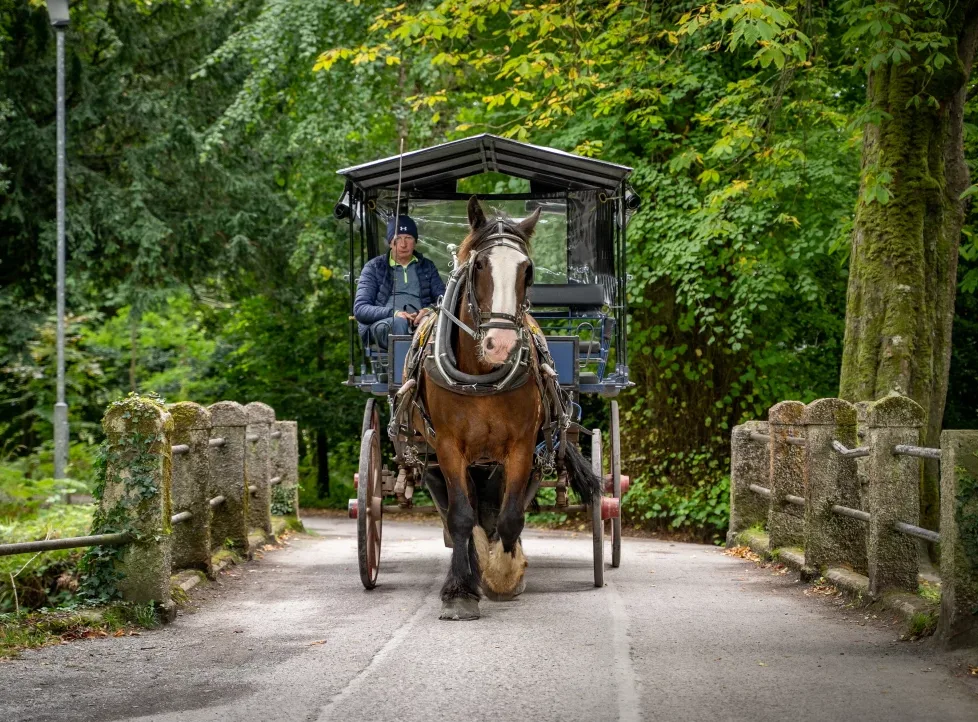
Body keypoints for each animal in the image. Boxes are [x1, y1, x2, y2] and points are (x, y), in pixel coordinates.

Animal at [414, 196, 602, 621]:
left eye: (527, 269)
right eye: (479, 265)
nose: (500, 345)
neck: (482, 377)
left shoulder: (521, 446)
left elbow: (511, 514)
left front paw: (504, 573)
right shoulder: (448, 447)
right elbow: (461, 516)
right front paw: (461, 590)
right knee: (465, 509)